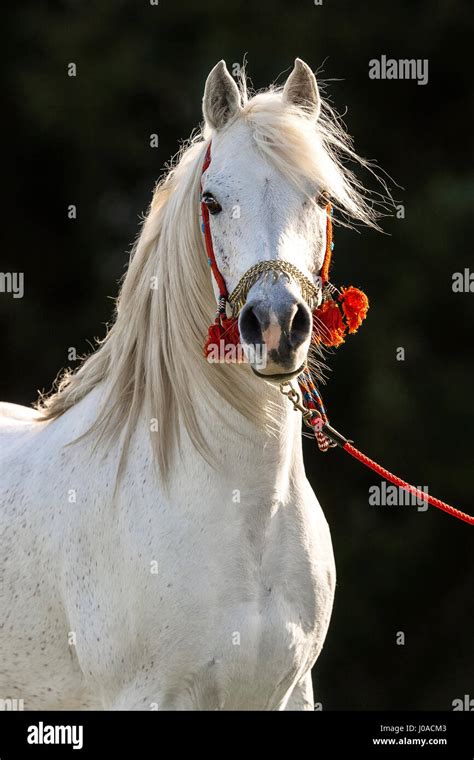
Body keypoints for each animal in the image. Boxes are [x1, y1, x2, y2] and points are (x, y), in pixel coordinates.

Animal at [0, 60, 378, 712]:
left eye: (321, 197)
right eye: (213, 201)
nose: (275, 325)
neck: (248, 511)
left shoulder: (288, 694)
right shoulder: (146, 694)